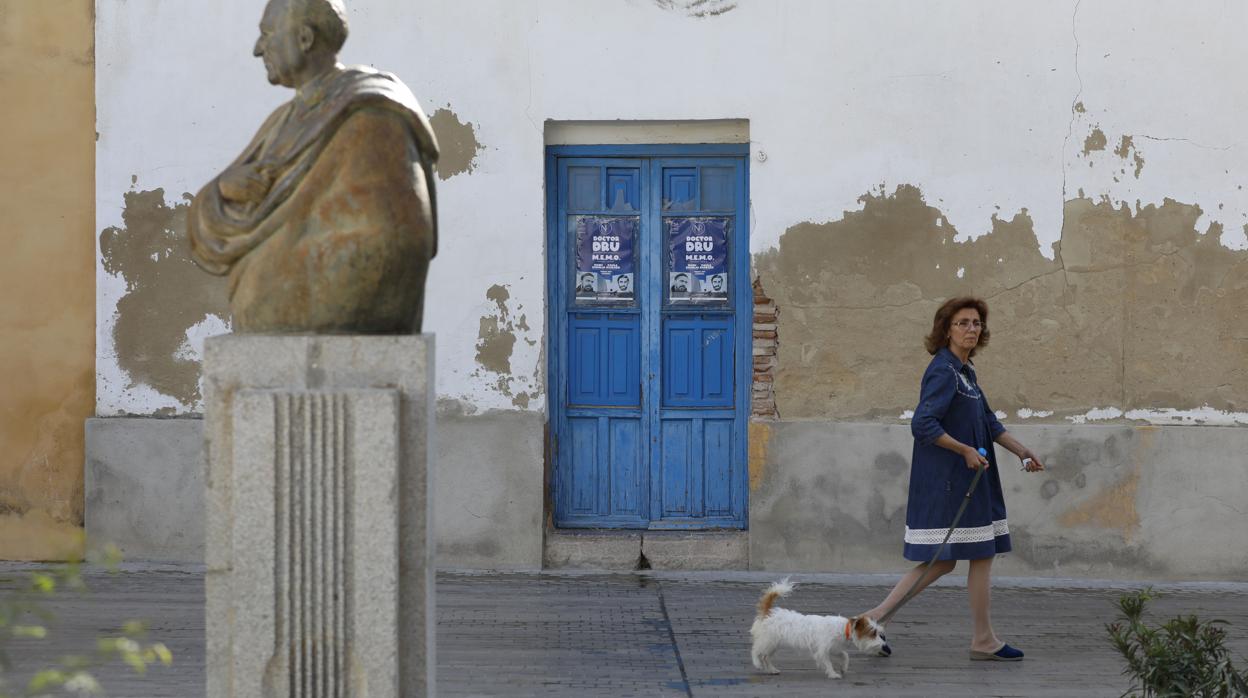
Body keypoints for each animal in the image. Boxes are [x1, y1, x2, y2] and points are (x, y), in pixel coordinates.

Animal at [748, 579, 888, 684]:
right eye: (873, 633)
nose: (883, 645)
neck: (843, 628)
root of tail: (768, 613)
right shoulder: (823, 651)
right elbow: (829, 663)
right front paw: (833, 674)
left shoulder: (835, 648)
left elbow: (845, 656)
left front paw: (843, 668)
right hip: (768, 641)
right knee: (755, 650)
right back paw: (757, 663)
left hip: (773, 644)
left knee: (765, 657)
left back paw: (772, 670)